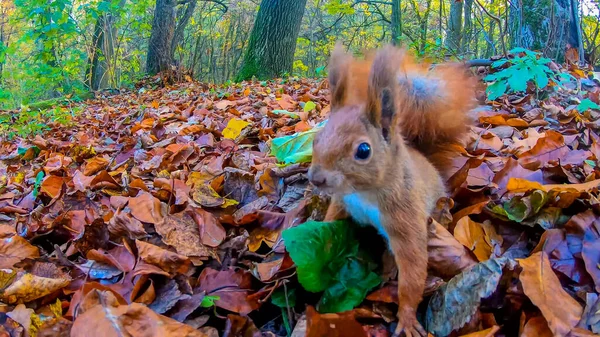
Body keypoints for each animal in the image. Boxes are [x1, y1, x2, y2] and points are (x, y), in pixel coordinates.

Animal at [308, 44, 476, 336]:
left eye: (364, 150)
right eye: (316, 139)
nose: (316, 178)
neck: (364, 193)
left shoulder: (405, 216)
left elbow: (413, 269)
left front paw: (407, 319)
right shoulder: (343, 202)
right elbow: (331, 224)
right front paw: (321, 240)